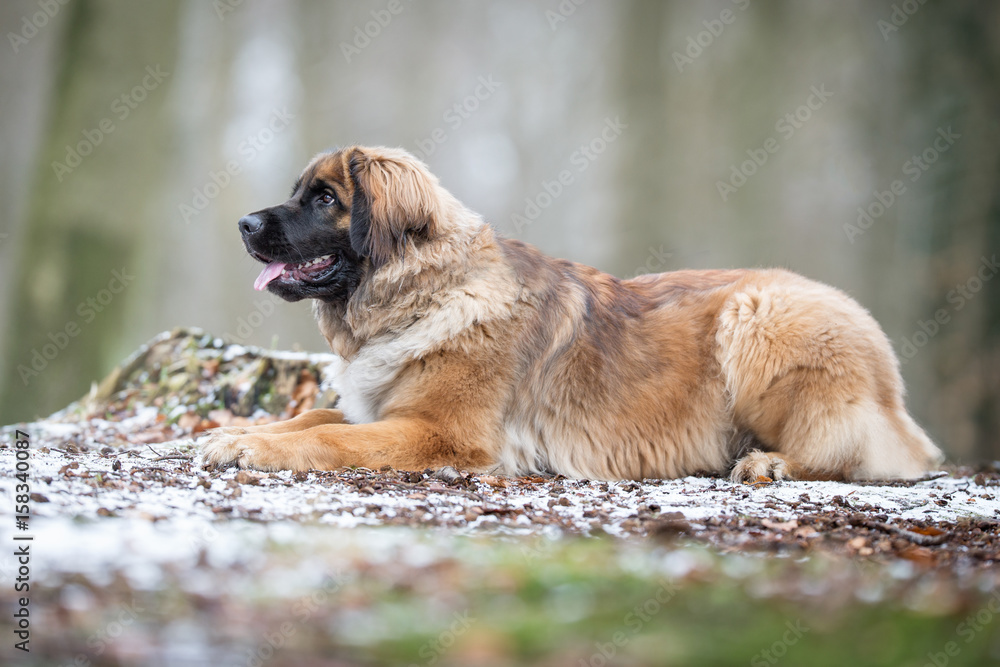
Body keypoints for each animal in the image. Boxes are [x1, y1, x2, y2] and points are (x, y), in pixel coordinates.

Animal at [203, 145, 944, 480]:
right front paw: (236, 431)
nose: (242, 224)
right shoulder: (382, 408)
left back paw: (770, 464)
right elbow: (313, 417)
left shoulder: (439, 432)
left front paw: (248, 445)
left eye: (326, 198)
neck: (425, 293)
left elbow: (330, 438)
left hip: (759, 316)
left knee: (845, 451)